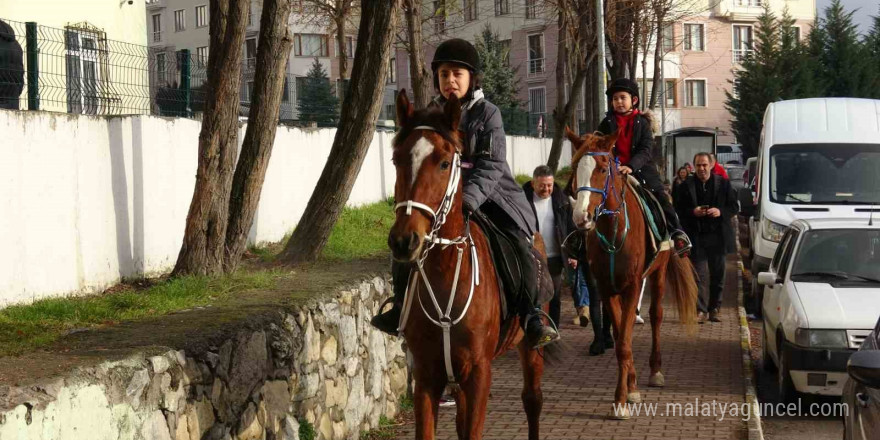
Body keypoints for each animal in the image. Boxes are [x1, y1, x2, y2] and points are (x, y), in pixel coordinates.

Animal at [568, 127, 696, 420]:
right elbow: (620, 341)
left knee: (656, 316)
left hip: (658, 274)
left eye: (602, 168)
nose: (581, 218)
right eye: (575, 168)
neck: (614, 230)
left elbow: (625, 342)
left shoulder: (632, 286)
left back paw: (656, 371)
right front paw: (628, 391)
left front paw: (622, 400)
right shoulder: (607, 289)